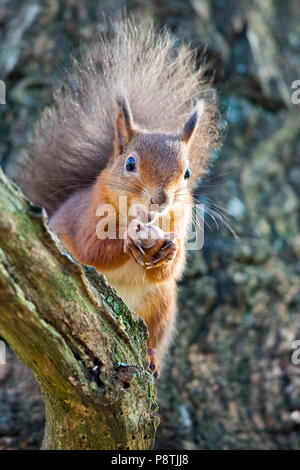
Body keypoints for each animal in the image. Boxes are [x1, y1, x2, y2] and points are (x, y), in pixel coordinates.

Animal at [15, 20, 219, 378]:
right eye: (130, 164)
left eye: (187, 173)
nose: (160, 199)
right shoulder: (86, 218)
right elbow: (91, 250)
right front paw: (126, 240)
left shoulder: (178, 224)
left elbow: (172, 267)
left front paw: (171, 248)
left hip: (161, 305)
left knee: (155, 333)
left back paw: (150, 357)